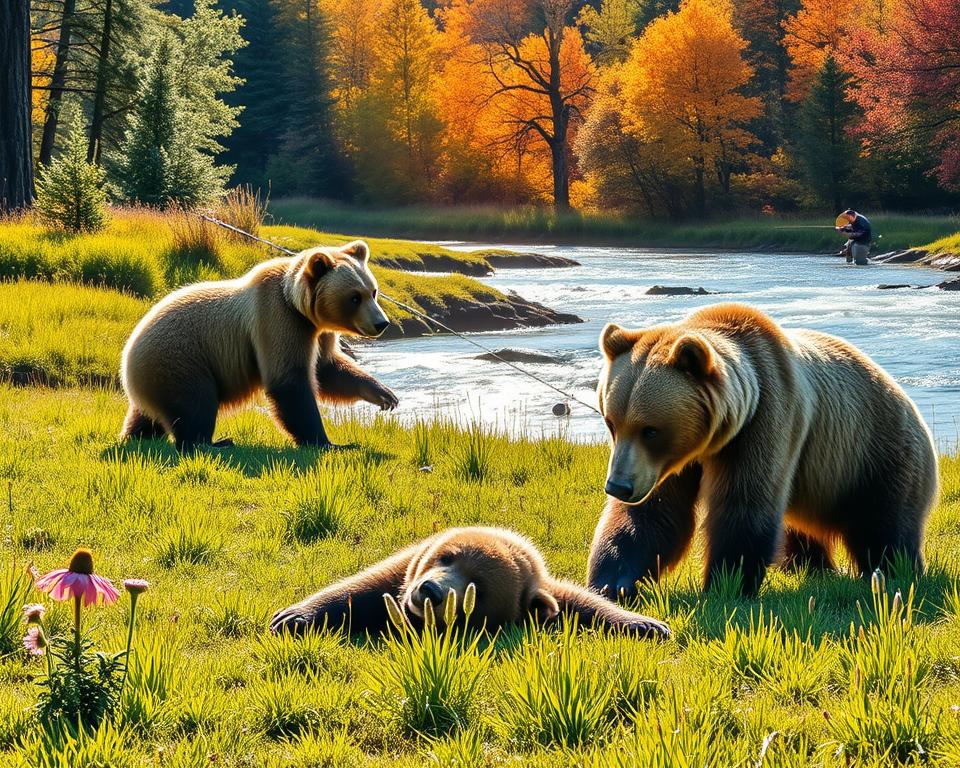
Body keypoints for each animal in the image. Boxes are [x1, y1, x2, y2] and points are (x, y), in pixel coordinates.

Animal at [120, 240, 398, 451]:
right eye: (354, 297)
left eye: (373, 291)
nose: (381, 323)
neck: (298, 305)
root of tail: (127, 356)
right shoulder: (278, 320)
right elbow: (290, 382)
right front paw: (328, 443)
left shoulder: (317, 332)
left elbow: (327, 368)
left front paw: (384, 394)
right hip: (179, 359)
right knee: (195, 405)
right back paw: (213, 443)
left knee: (147, 417)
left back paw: (136, 436)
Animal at [270, 527, 671, 638]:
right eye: (446, 557)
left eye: (478, 587)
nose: (429, 591)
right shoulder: (404, 571)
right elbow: (360, 588)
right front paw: (293, 616)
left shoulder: (540, 591)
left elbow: (584, 604)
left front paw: (647, 624)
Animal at [588, 302, 938, 597]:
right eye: (611, 422)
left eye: (651, 429)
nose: (618, 486)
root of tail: (909, 403)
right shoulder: (669, 464)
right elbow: (653, 513)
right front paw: (612, 582)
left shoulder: (767, 418)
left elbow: (744, 504)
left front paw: (725, 584)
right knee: (803, 530)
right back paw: (807, 566)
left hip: (874, 452)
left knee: (885, 525)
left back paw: (896, 571)